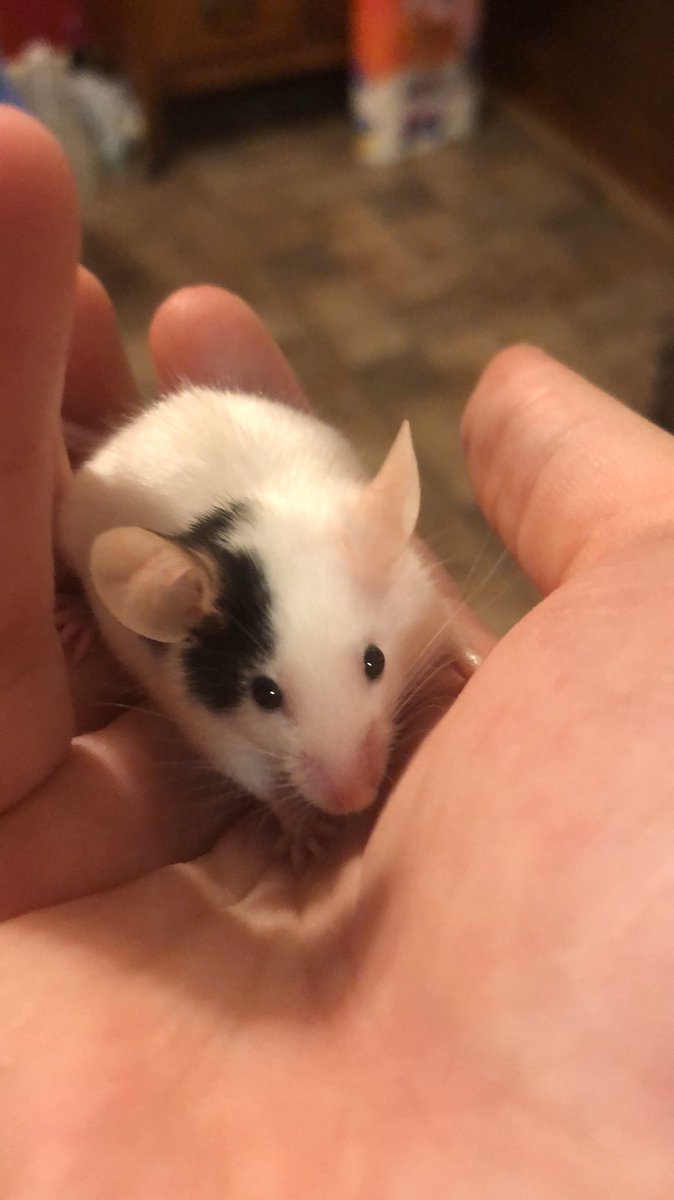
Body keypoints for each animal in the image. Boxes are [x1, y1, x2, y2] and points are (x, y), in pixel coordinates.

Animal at [59, 387, 468, 822]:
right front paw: (305, 828)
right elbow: (257, 777)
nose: (353, 801)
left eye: (375, 661)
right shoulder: (205, 723)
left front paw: (471, 665)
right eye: (265, 694)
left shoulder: (424, 599)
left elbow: (450, 638)